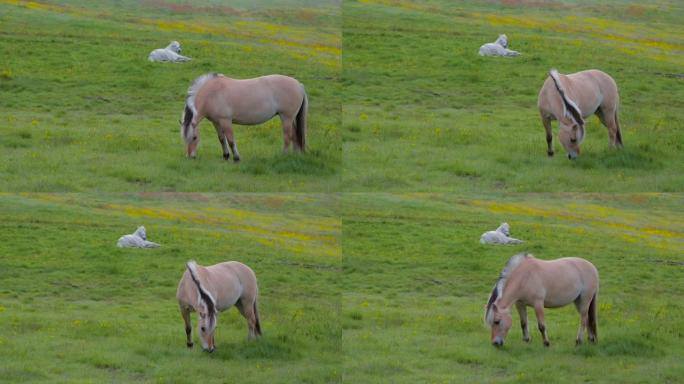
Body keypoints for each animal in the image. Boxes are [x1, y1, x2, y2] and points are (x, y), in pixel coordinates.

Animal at [182, 72, 310, 160]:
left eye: (194, 138)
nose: (190, 156)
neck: (212, 94)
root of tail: (299, 85)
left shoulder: (225, 121)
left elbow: (230, 140)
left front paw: (236, 158)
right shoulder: (216, 122)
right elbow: (222, 139)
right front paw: (226, 155)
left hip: (286, 118)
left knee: (287, 137)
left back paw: (283, 155)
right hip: (291, 119)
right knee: (295, 136)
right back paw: (295, 155)